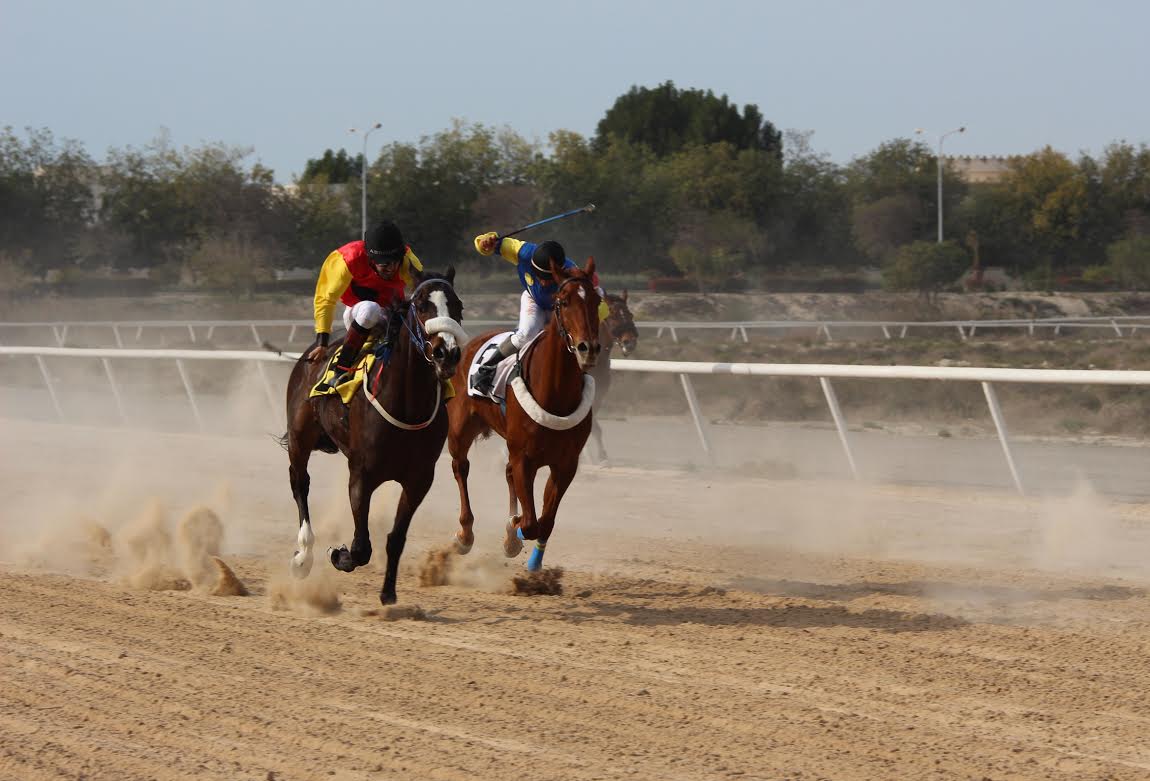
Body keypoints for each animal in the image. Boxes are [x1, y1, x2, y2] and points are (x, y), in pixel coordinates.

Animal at [282, 269, 466, 602]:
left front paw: (388, 593)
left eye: (458, 306)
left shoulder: (419, 479)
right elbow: (361, 547)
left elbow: (396, 538)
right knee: (300, 483)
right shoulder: (362, 474)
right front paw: (337, 554)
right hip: (300, 437)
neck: (406, 406)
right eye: (422, 305)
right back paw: (303, 556)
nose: (447, 353)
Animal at [443, 259, 602, 570]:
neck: (555, 395)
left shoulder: (565, 464)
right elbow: (529, 523)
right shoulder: (524, 458)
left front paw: (528, 555)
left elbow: (545, 522)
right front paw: (513, 531)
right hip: (459, 429)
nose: (587, 348)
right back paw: (464, 534)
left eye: (597, 301)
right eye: (563, 302)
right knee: (461, 467)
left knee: (505, 474)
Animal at [584, 287, 639, 462]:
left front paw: (602, 457)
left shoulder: (600, 393)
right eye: (612, 316)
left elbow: (593, 424)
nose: (630, 342)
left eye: (630, 315)